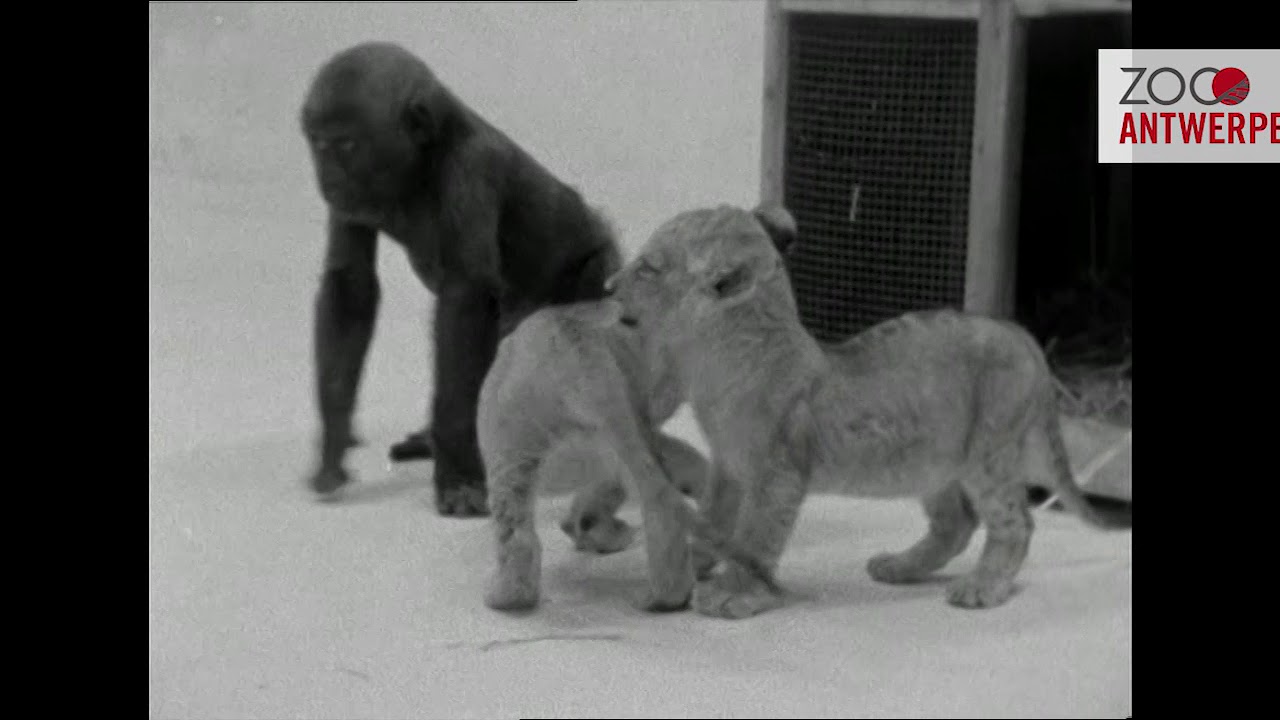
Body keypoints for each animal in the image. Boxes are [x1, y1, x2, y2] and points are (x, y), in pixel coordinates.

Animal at [299, 42, 621, 517]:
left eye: (347, 145)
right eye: (318, 145)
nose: (327, 176)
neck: (424, 155)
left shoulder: (471, 168)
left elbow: (464, 301)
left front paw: (457, 471)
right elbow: (350, 286)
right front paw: (333, 444)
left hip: (598, 271)